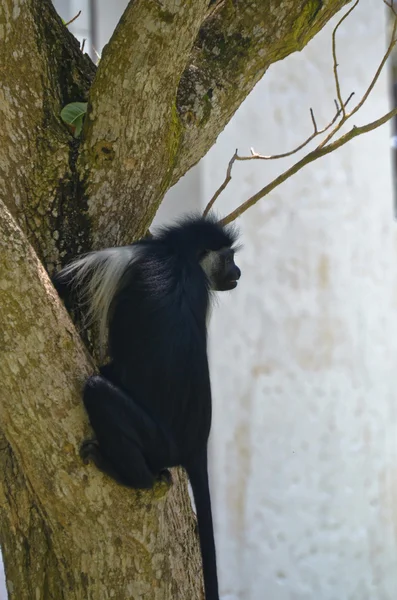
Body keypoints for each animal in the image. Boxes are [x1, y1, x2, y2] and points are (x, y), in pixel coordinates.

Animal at [53, 214, 240, 600]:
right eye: (228, 258)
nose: (238, 272)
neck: (181, 256)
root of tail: (194, 445)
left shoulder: (131, 256)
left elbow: (67, 283)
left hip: (155, 440)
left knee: (97, 391)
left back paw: (121, 470)